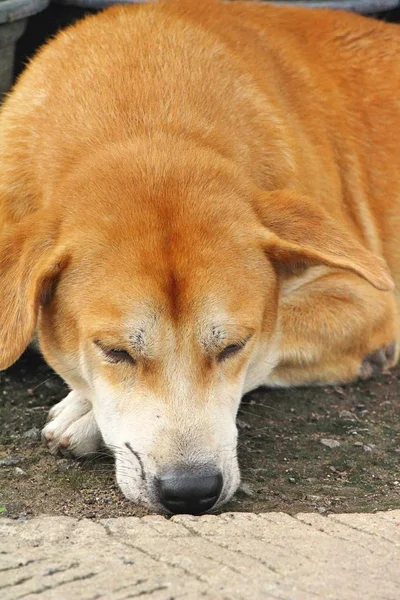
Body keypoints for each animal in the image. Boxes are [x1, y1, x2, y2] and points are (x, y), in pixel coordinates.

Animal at [0, 1, 400, 516]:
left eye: (233, 346)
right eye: (114, 351)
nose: (190, 491)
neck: (149, 120)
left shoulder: (369, 299)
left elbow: (273, 345)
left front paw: (84, 414)